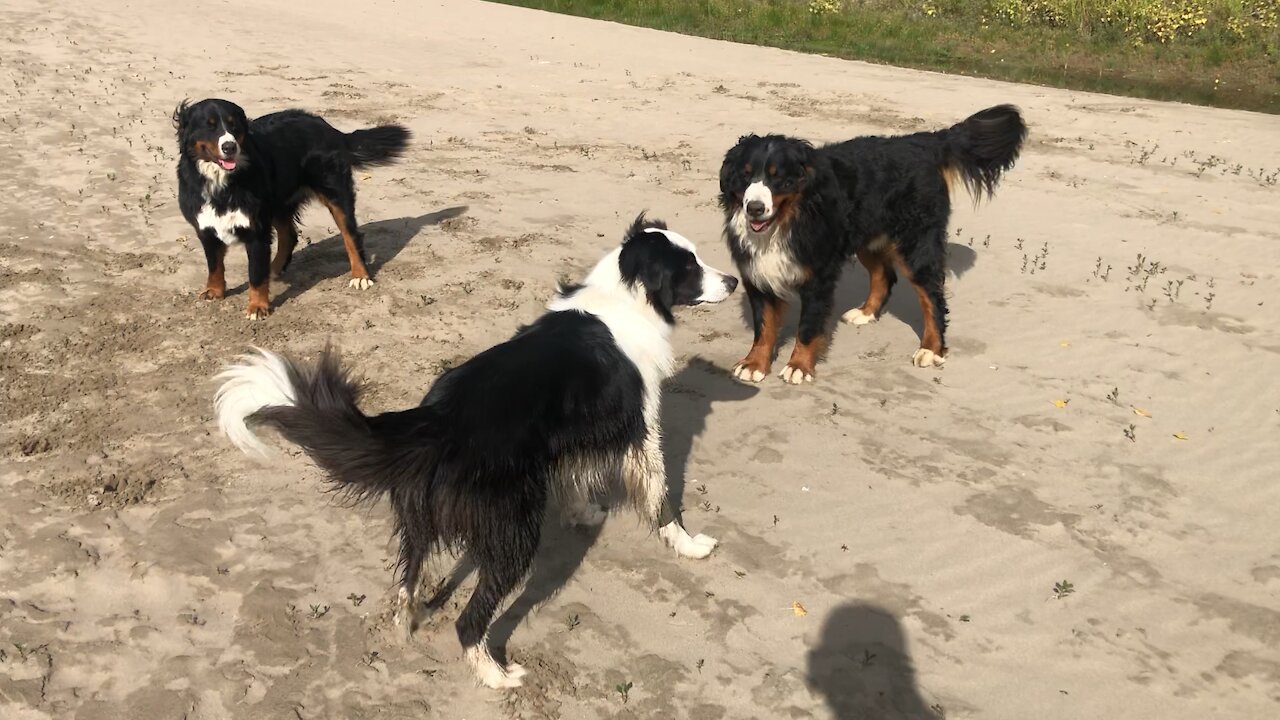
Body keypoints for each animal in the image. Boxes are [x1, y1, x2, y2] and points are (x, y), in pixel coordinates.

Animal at [172, 98, 407, 316]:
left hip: (335, 195)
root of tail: (327, 126)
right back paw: (274, 269)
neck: (221, 182)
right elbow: (214, 265)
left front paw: (257, 306)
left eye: (234, 126)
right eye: (209, 125)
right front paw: (214, 291)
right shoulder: (205, 227)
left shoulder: (256, 231)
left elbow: (256, 274)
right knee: (289, 236)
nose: (230, 147)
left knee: (351, 236)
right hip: (277, 202)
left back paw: (360, 275)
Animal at [213, 213, 742, 691]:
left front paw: (584, 512)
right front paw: (689, 545)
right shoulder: (641, 428)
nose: (735, 280)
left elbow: (575, 478)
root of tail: (438, 421)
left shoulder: (568, 442)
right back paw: (497, 676)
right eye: (689, 266)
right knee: (469, 620)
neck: (625, 296)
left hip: (421, 517)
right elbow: (661, 496)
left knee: (408, 579)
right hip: (515, 531)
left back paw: (408, 623)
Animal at [721, 103, 1029, 381]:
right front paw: (755, 363)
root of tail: (922, 142)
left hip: (916, 244)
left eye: (779, 179)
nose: (755, 208)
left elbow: (807, 328)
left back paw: (931, 349)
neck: (785, 222)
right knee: (884, 275)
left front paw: (798, 366)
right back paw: (865, 313)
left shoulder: (818, 278)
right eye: (746, 175)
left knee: (932, 297)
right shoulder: (757, 273)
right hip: (867, 237)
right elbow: (764, 325)